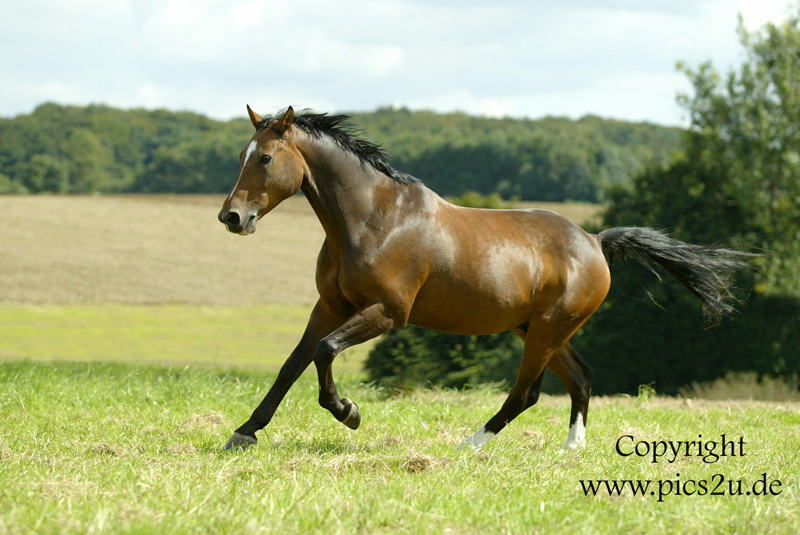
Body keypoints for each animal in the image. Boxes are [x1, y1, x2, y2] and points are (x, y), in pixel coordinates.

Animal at [216, 104, 752, 452]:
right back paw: (571, 449)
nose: (232, 218)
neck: (372, 218)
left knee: (527, 393)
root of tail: (596, 242)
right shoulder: (330, 305)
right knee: (581, 378)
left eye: (265, 158)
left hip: (546, 331)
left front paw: (349, 412)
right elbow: (293, 364)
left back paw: (470, 443)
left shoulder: (388, 313)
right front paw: (245, 432)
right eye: (240, 155)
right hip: (539, 329)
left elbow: (325, 352)